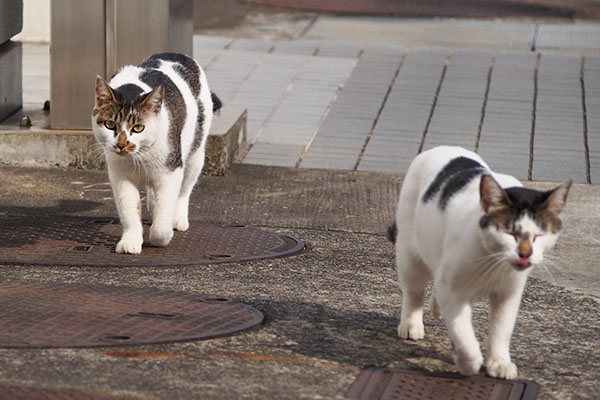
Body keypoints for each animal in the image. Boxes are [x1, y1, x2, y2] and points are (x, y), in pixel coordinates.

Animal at [92, 52, 224, 253]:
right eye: (109, 125)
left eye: (138, 128)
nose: (122, 144)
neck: (139, 157)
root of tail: (177, 54)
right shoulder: (121, 176)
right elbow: (129, 212)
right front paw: (131, 241)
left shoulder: (170, 171)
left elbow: (163, 218)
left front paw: (160, 236)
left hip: (195, 154)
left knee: (184, 190)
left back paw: (178, 218)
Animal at [390, 145, 572, 380]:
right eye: (509, 232)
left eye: (539, 235)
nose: (525, 254)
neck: (493, 260)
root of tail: (440, 147)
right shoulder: (454, 292)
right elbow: (463, 335)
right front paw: (468, 363)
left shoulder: (508, 294)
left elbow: (501, 330)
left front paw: (499, 362)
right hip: (410, 255)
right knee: (413, 292)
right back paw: (411, 324)